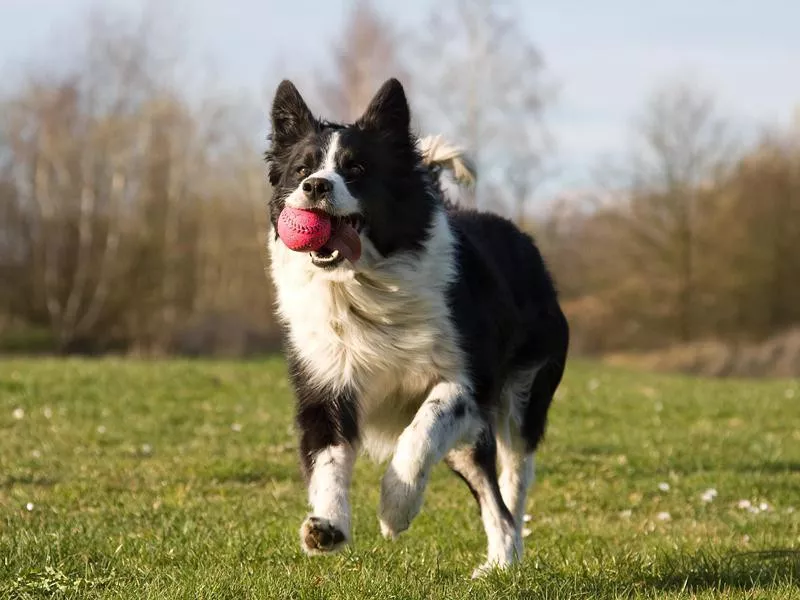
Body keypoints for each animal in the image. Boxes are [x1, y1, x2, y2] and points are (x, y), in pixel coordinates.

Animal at [266, 78, 564, 576]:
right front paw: (327, 526)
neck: (364, 284)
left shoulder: (468, 382)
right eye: (301, 168)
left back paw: (504, 561)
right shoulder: (324, 384)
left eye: (357, 168)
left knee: (508, 485)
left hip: (521, 399)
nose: (315, 186)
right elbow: (328, 460)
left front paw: (395, 507)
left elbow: (422, 429)